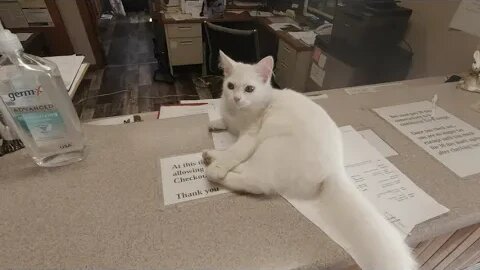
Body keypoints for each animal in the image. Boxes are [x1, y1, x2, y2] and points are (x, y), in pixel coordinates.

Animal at [204, 51, 418, 270]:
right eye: (230, 86)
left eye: (249, 89)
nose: (236, 98)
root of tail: (335, 169)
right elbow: (226, 125)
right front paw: (216, 122)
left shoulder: (250, 136)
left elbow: (234, 152)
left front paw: (219, 165)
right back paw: (211, 155)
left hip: (270, 146)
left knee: (254, 180)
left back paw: (216, 169)